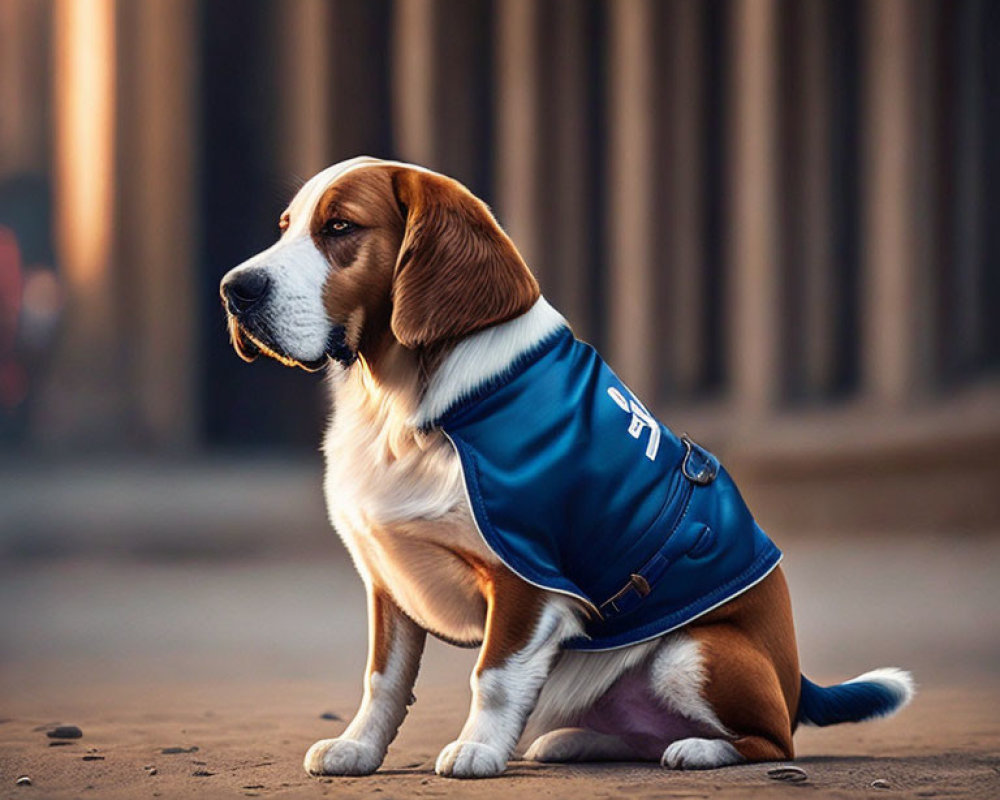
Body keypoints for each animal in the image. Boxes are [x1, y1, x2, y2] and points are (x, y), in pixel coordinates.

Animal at [219, 158, 916, 780]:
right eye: (286, 227)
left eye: (340, 227)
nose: (234, 289)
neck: (403, 405)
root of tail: (797, 680)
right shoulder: (388, 581)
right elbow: (382, 679)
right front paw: (358, 749)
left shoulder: (527, 573)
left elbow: (494, 676)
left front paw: (476, 751)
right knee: (637, 734)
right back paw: (575, 741)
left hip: (692, 653)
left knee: (772, 741)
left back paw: (699, 750)